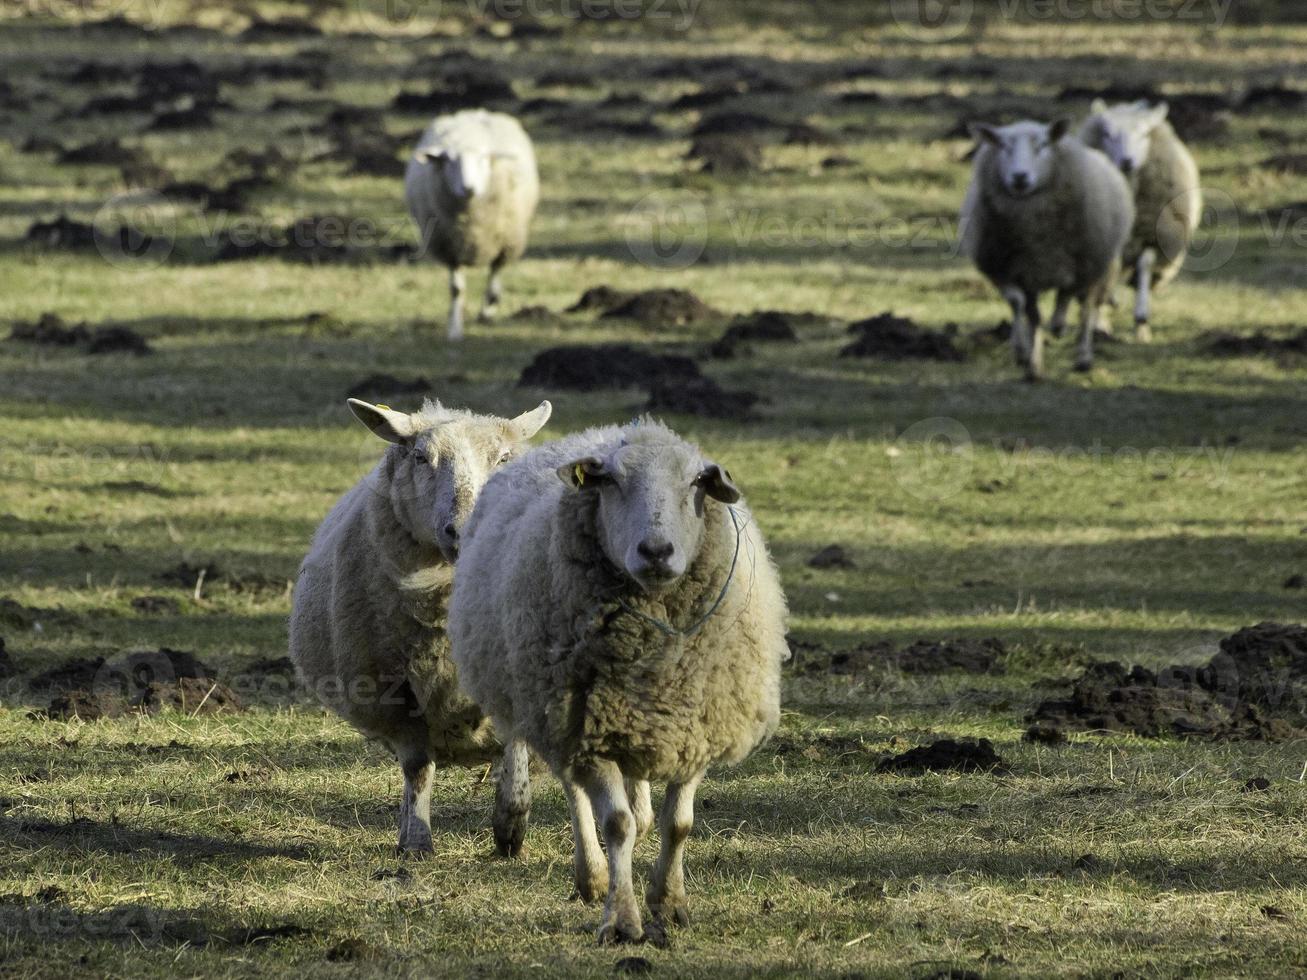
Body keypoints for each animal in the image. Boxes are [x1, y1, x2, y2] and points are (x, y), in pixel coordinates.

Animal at [288, 394, 548, 857]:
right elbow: (417, 767)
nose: (463, 530)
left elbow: (517, 750)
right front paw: (416, 841)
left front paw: (510, 825)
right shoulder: (394, 693)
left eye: (503, 458)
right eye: (421, 457)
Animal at [402, 108, 535, 342]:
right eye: (449, 160)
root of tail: (474, 112)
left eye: (483, 159)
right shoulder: (450, 247)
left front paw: (488, 309)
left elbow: (495, 273)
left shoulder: (505, 242)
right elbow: (456, 289)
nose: (469, 187)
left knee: (495, 272)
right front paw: (455, 329)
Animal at [446, 418, 784, 946]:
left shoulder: (695, 728)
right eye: (611, 482)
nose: (656, 551)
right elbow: (616, 823)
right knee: (576, 794)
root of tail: (603, 431)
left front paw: (671, 904)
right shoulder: (587, 729)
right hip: (557, 714)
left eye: (696, 483)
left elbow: (679, 824)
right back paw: (592, 875)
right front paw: (622, 918)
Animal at [961, 114, 1134, 376]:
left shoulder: (1082, 264)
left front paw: (1059, 326)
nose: (1019, 177)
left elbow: (1067, 297)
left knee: (1087, 308)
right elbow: (1023, 307)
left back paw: (1082, 357)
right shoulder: (1011, 270)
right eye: (1003, 146)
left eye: (1042, 145)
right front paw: (1028, 357)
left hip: (1100, 266)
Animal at [1076, 99, 1197, 342]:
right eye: (1108, 134)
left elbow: (1144, 266)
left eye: (1143, 134)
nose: (1126, 161)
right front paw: (1099, 322)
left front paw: (1141, 322)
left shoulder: (1151, 235)